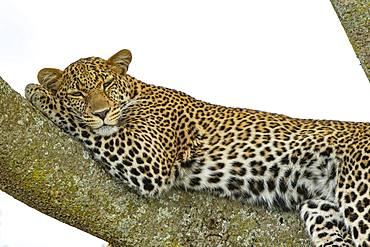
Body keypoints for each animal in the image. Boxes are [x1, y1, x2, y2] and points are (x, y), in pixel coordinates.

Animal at [25, 49, 370, 246]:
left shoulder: (149, 161)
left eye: (107, 84)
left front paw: (39, 92)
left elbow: (88, 127)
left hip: (360, 199)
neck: (138, 91)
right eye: (78, 94)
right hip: (319, 205)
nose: (100, 112)